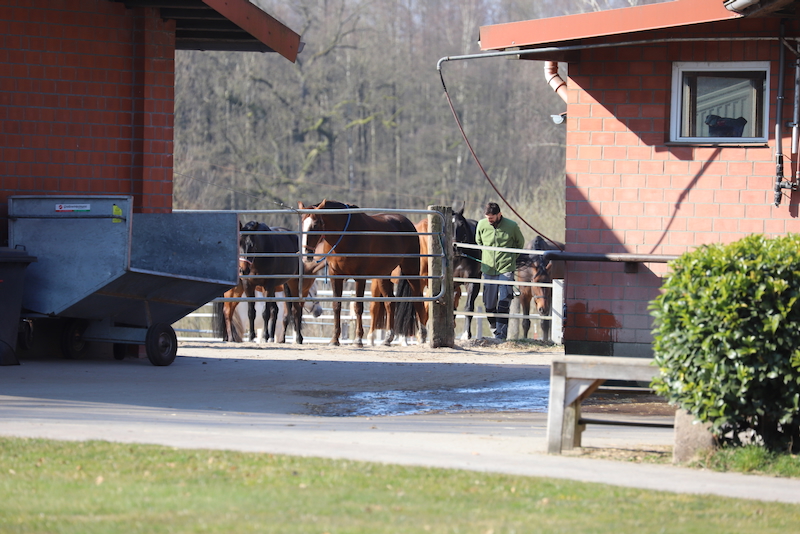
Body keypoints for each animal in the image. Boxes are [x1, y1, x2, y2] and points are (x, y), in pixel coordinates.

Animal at [299, 199, 426, 347]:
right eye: (302, 224)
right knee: (390, 302)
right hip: (383, 275)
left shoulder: (360, 278)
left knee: (417, 298)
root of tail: (408, 223)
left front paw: (358, 339)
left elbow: (358, 307)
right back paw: (388, 338)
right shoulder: (335, 276)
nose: (306, 254)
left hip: (411, 269)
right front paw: (334, 339)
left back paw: (422, 335)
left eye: (315, 225)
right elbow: (336, 306)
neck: (346, 236)